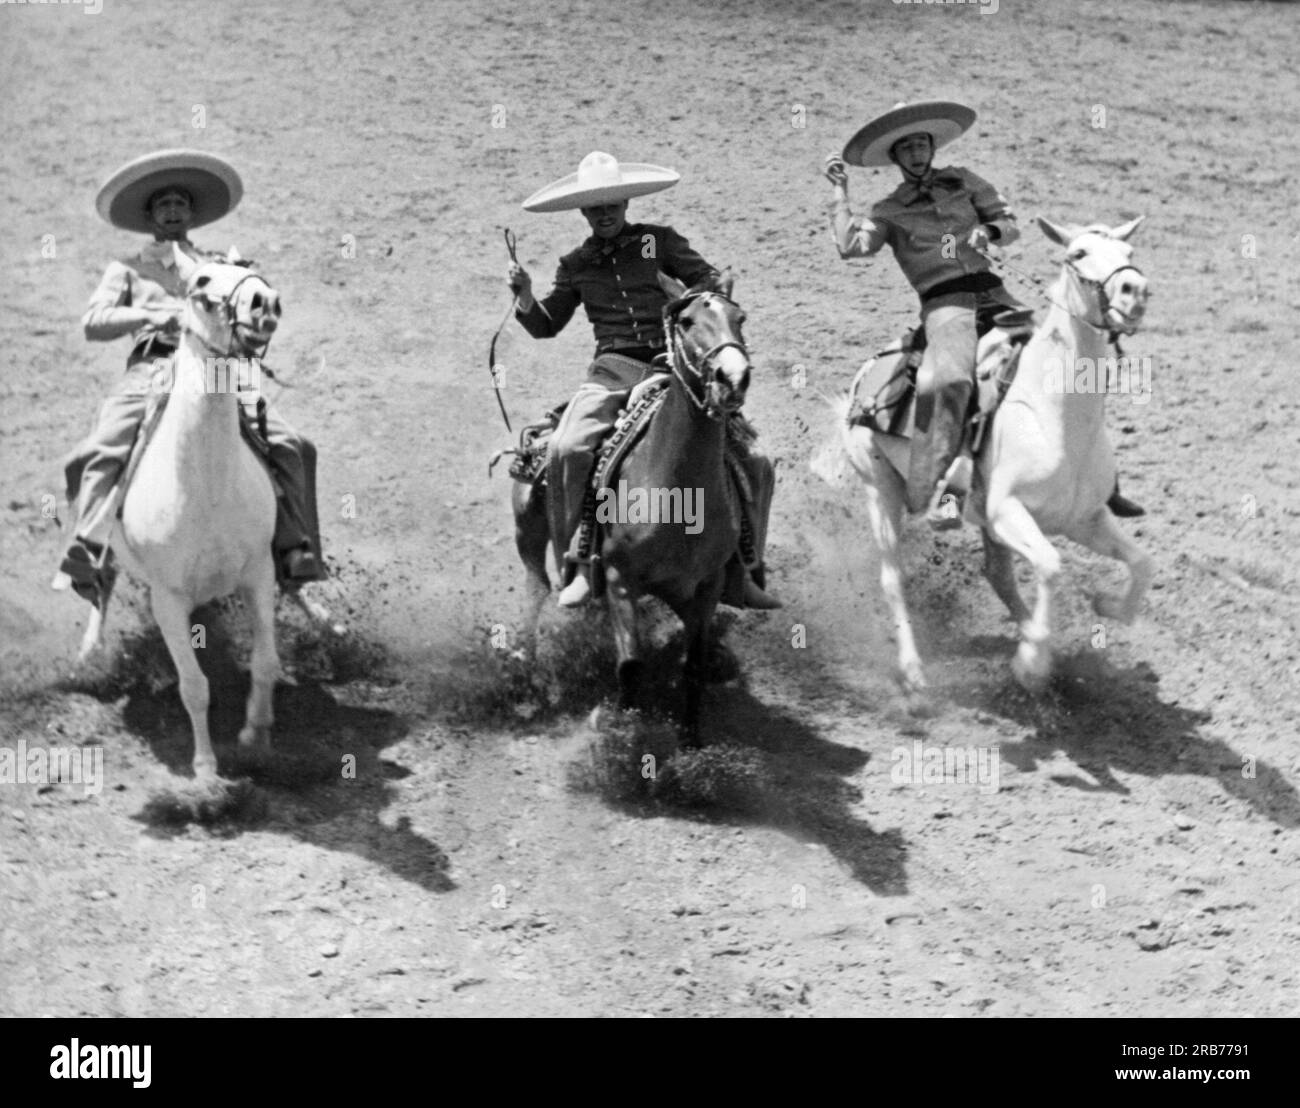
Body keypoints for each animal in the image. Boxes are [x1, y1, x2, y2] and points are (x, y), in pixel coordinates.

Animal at [79, 262, 287, 775]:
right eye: (203, 281)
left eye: (249, 270)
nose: (265, 303)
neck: (206, 489)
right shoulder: (167, 599)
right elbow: (194, 687)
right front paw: (206, 768)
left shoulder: (259, 571)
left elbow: (266, 663)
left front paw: (256, 735)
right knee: (101, 578)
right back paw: (89, 653)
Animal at [816, 215, 1154, 691]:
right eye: (1078, 253)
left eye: (1128, 254)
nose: (1134, 291)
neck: (1057, 417)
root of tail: (866, 375)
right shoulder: (1005, 512)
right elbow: (1051, 565)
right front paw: (1031, 663)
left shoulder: (1084, 519)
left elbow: (1142, 564)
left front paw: (1104, 605)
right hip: (879, 488)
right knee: (892, 580)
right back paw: (914, 674)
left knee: (998, 575)